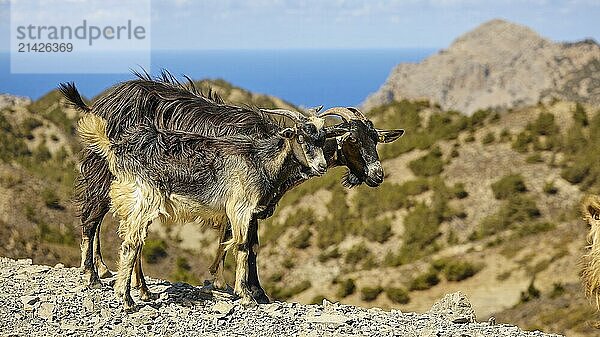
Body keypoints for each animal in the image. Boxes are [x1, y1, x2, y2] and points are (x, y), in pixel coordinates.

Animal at [67, 75, 338, 308]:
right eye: (301, 138)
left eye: (324, 139)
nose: (321, 167)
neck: (262, 153)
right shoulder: (243, 207)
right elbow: (246, 246)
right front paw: (251, 293)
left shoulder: (244, 209)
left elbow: (234, 243)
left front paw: (223, 282)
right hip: (117, 184)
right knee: (97, 221)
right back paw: (98, 279)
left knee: (132, 238)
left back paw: (138, 288)